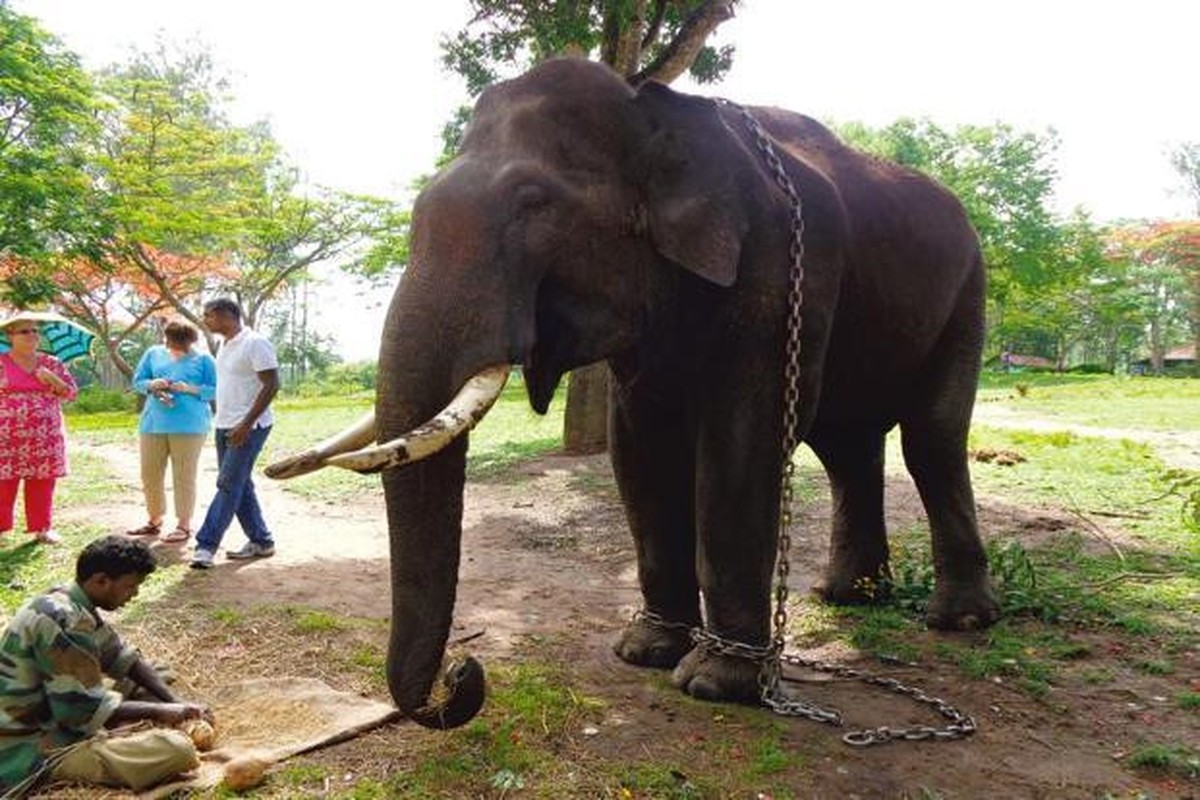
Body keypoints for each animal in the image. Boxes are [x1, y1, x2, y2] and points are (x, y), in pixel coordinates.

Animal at [267, 57, 998, 734]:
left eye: (534, 204)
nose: (462, 671)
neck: (653, 108)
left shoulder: (782, 267)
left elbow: (744, 442)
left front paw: (713, 682)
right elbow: (639, 448)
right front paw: (644, 652)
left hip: (969, 291)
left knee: (930, 442)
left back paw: (958, 620)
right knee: (848, 448)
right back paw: (846, 595)